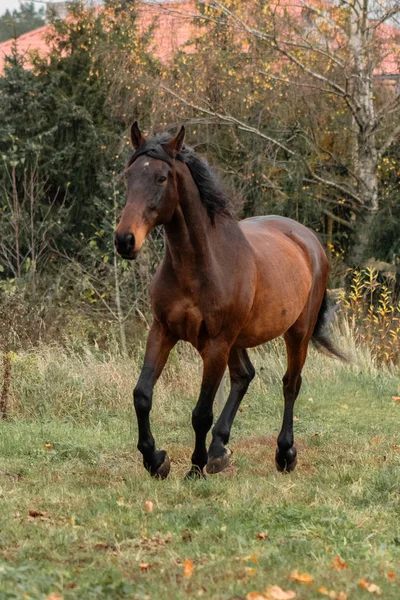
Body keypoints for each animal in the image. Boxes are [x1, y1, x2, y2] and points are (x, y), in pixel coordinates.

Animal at [113, 124, 344, 480]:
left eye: (161, 178)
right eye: (129, 176)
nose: (125, 241)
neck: (199, 265)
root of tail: (309, 241)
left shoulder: (216, 345)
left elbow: (201, 413)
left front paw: (194, 468)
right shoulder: (163, 331)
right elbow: (142, 395)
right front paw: (155, 459)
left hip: (296, 333)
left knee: (290, 384)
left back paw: (284, 453)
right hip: (238, 340)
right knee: (244, 376)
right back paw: (219, 450)